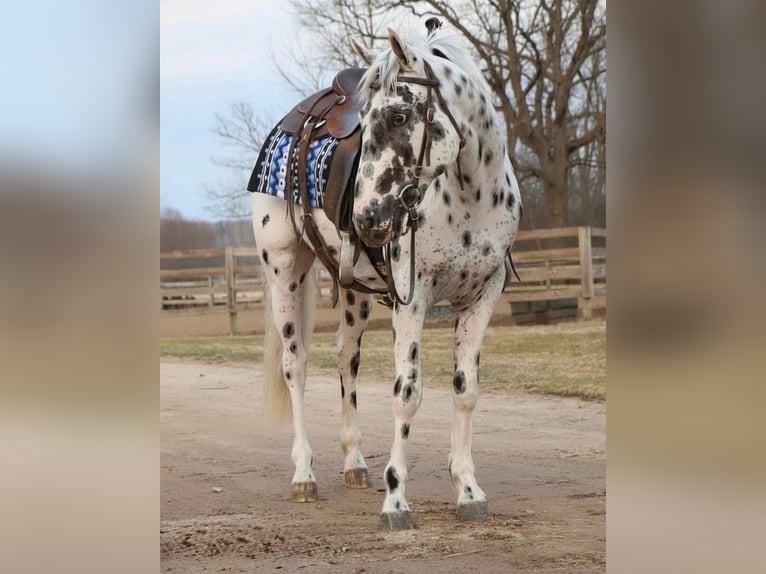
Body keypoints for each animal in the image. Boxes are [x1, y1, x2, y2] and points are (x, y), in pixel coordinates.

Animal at [249, 21, 521, 531]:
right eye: (366, 119)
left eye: (398, 116)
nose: (367, 217)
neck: (471, 195)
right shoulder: (412, 299)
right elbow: (407, 394)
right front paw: (396, 499)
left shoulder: (484, 296)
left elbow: (466, 391)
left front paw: (468, 490)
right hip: (285, 270)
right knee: (296, 366)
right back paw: (303, 474)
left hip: (355, 291)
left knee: (345, 357)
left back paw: (354, 464)